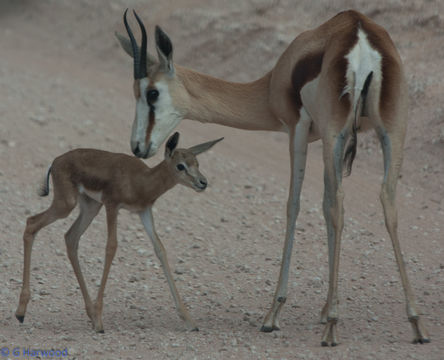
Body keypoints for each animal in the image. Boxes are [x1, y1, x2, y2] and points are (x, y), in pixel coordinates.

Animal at [15, 134, 224, 334]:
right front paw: (100, 323)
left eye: (197, 163)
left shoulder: (144, 211)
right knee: (31, 223)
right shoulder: (112, 205)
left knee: (70, 237)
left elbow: (160, 250)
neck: (141, 181)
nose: (202, 183)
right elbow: (111, 247)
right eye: (181, 165)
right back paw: (21, 312)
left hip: (90, 207)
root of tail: (56, 161)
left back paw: (89, 314)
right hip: (66, 204)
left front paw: (189, 321)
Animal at [115, 9, 430, 344]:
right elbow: (324, 204)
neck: (272, 83)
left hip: (340, 134)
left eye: (152, 93)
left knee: (339, 206)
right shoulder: (325, 139)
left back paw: (331, 327)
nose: (138, 147)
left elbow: (294, 205)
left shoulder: (297, 129)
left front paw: (274, 314)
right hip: (391, 132)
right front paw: (323, 309)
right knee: (385, 201)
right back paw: (415, 322)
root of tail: (360, 34)